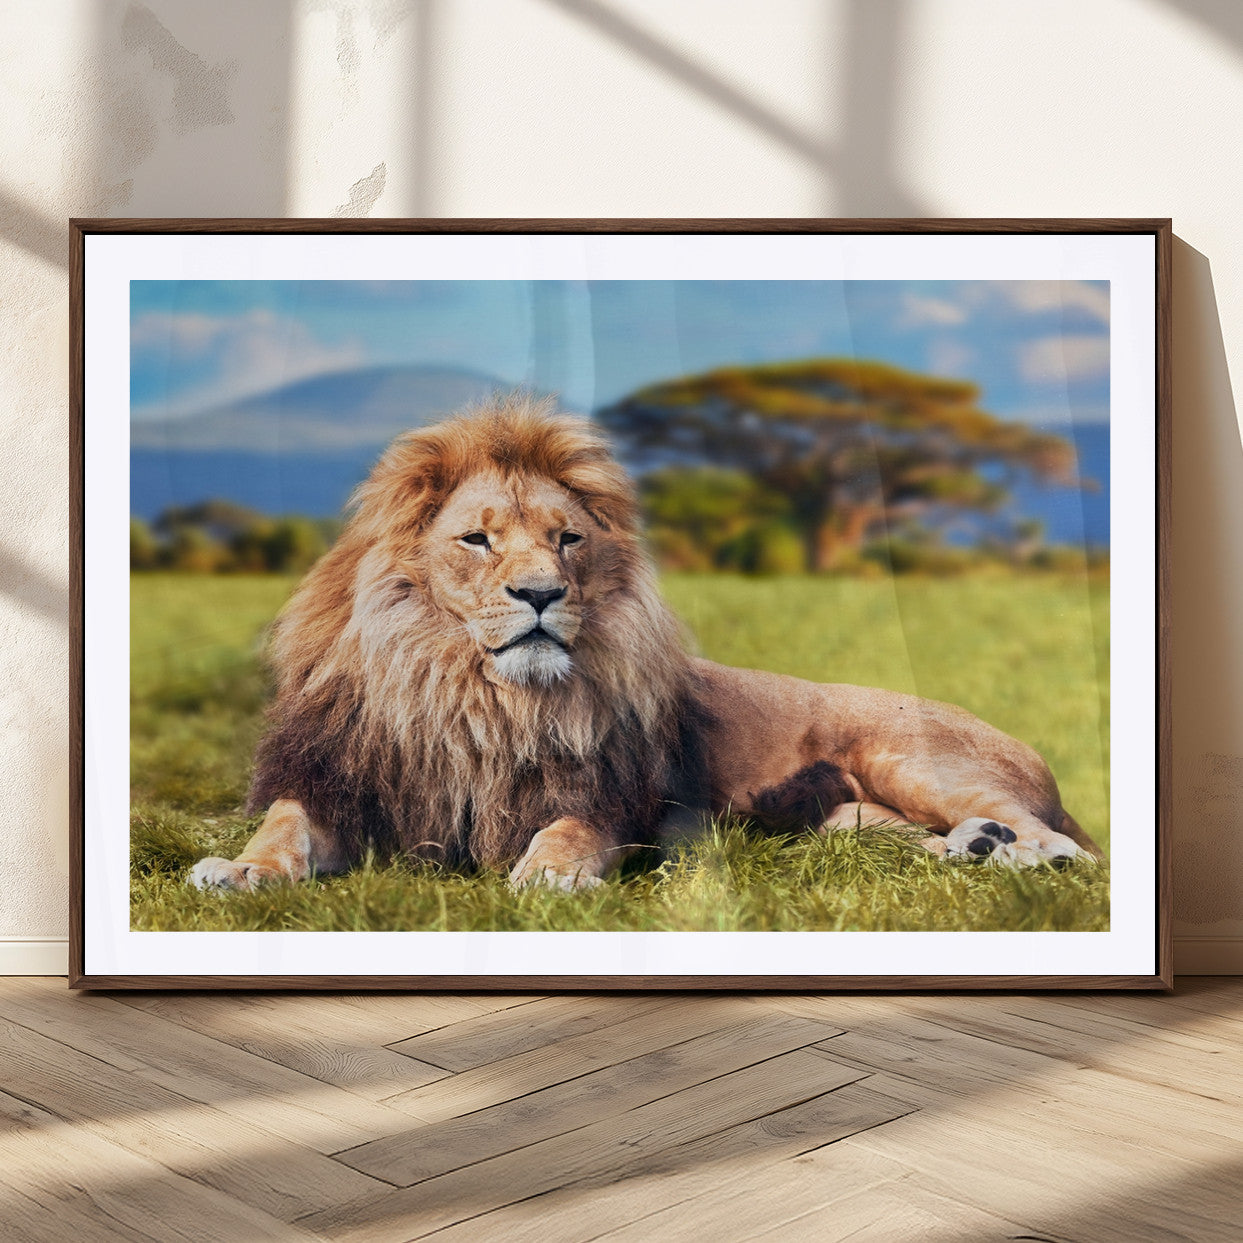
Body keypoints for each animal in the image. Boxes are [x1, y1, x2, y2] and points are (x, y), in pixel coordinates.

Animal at [189, 395, 1101, 894]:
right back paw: (974, 847)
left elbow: (566, 832)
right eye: (476, 540)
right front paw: (238, 870)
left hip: (910, 756)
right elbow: (284, 826)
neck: (471, 695)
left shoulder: (607, 798)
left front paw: (549, 874)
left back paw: (1017, 854)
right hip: (845, 819)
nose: (541, 595)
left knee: (1065, 844)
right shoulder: (345, 783)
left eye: (566, 539)